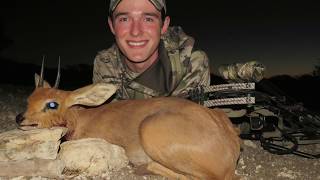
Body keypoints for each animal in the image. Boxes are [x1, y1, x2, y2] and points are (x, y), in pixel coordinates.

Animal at [15, 61, 240, 179]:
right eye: (30, 99)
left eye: (52, 104)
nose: (19, 118)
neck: (81, 118)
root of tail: (231, 150)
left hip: (150, 129)